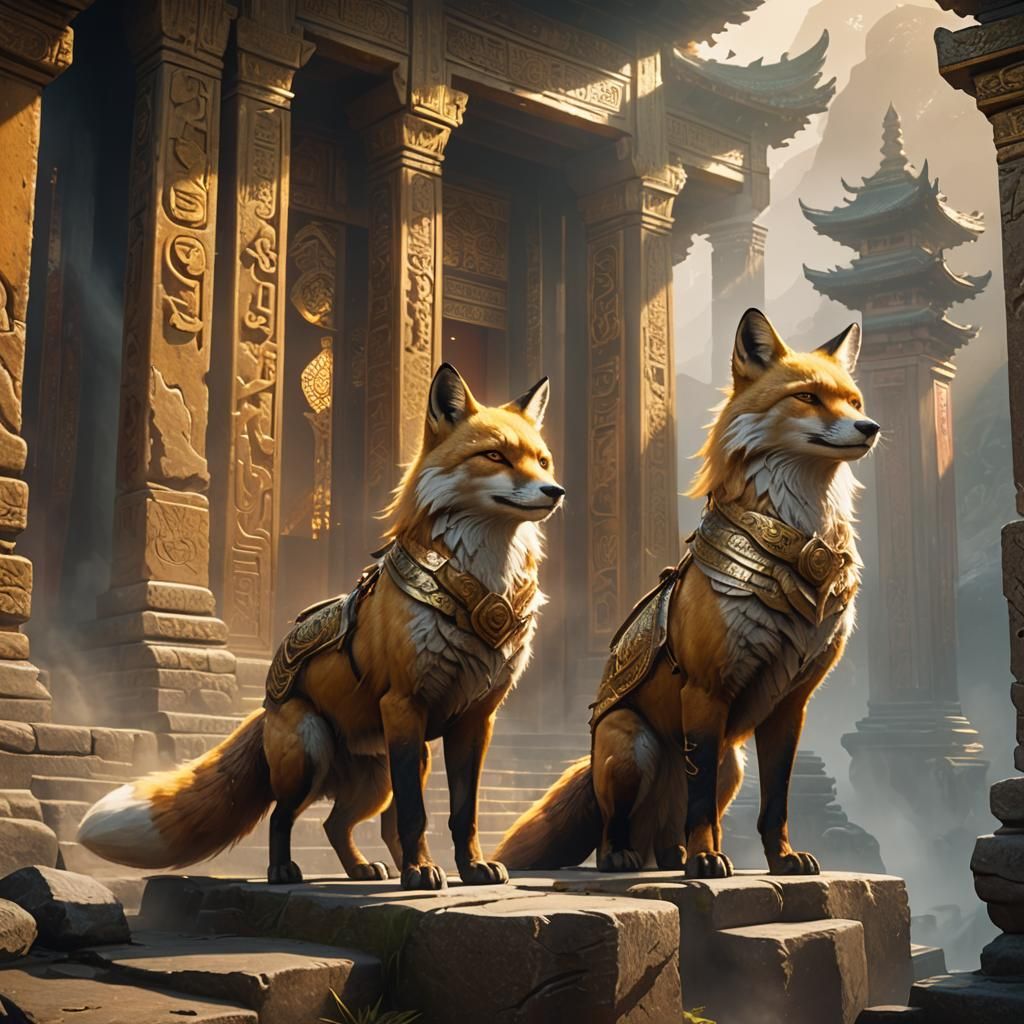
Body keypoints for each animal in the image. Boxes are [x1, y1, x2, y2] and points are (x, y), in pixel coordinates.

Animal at [78, 363, 564, 890]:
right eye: (495, 455)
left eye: (543, 462)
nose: (554, 492)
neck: (478, 588)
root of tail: (265, 708)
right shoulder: (403, 704)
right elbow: (418, 815)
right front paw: (422, 872)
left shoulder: (475, 719)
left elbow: (462, 813)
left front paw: (472, 868)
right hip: (314, 756)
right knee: (284, 816)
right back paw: (289, 871)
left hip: (387, 774)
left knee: (343, 824)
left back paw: (373, 870)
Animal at [494, 308, 878, 879]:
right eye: (808, 396)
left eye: (854, 402)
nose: (870, 428)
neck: (797, 553)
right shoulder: (705, 691)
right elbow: (701, 808)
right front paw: (706, 861)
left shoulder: (791, 703)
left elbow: (776, 801)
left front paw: (782, 859)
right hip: (635, 746)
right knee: (616, 828)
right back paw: (626, 857)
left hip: (731, 764)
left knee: (669, 832)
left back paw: (672, 857)